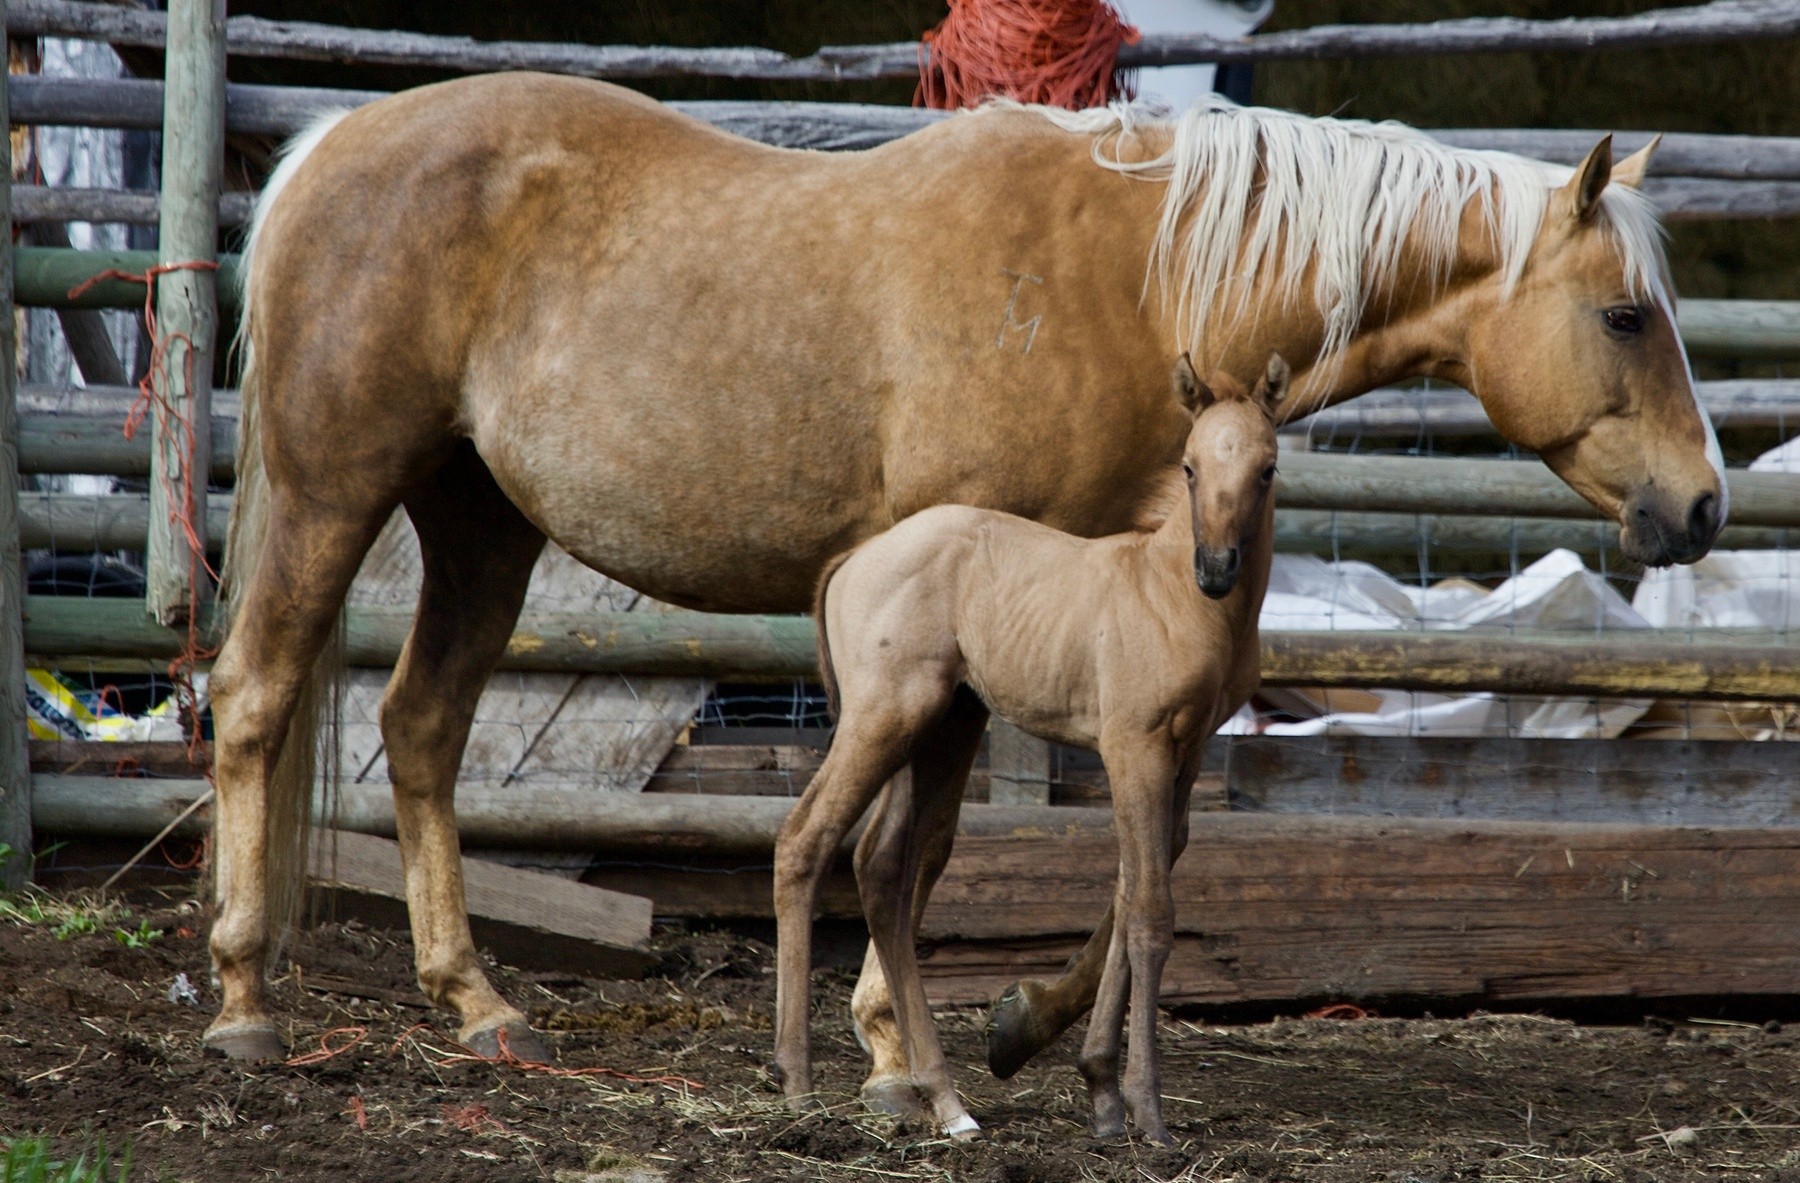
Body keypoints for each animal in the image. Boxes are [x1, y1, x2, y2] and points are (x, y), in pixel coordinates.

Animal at [774, 355, 1289, 1142]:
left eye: (1267, 468)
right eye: (1189, 466)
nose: (1217, 568)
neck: (1170, 594)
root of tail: (854, 556)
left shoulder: (1188, 749)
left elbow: (1130, 889)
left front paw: (1102, 1093)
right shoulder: (1132, 745)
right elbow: (1149, 910)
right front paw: (1145, 1111)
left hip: (946, 723)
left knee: (884, 867)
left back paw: (944, 1098)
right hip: (884, 715)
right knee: (806, 838)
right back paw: (799, 1082)